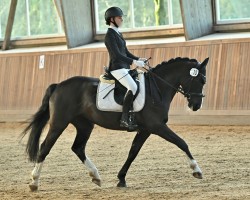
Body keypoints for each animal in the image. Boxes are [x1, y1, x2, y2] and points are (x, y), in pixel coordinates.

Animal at [21, 56, 209, 191]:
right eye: (201, 81)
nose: (196, 105)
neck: (157, 90)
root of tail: (58, 85)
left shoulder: (145, 130)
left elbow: (133, 152)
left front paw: (121, 179)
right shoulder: (157, 127)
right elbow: (181, 142)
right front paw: (197, 170)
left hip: (84, 125)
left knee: (78, 148)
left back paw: (96, 176)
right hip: (59, 123)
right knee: (45, 147)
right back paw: (34, 182)